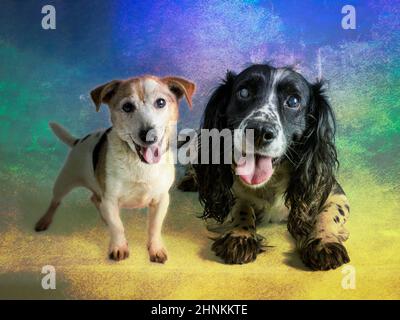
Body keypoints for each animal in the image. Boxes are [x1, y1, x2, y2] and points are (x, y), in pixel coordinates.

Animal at [36, 75, 195, 262]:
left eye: (161, 102)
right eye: (127, 107)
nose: (148, 135)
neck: (139, 163)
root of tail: (78, 141)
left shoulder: (161, 199)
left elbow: (154, 227)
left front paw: (155, 248)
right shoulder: (111, 199)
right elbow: (117, 226)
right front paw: (119, 246)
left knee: (94, 199)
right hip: (64, 181)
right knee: (56, 201)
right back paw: (44, 220)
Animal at [180, 64, 350, 270]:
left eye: (293, 101)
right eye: (244, 92)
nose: (259, 131)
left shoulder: (334, 192)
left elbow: (328, 214)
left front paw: (324, 241)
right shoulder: (231, 192)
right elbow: (242, 207)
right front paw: (241, 236)